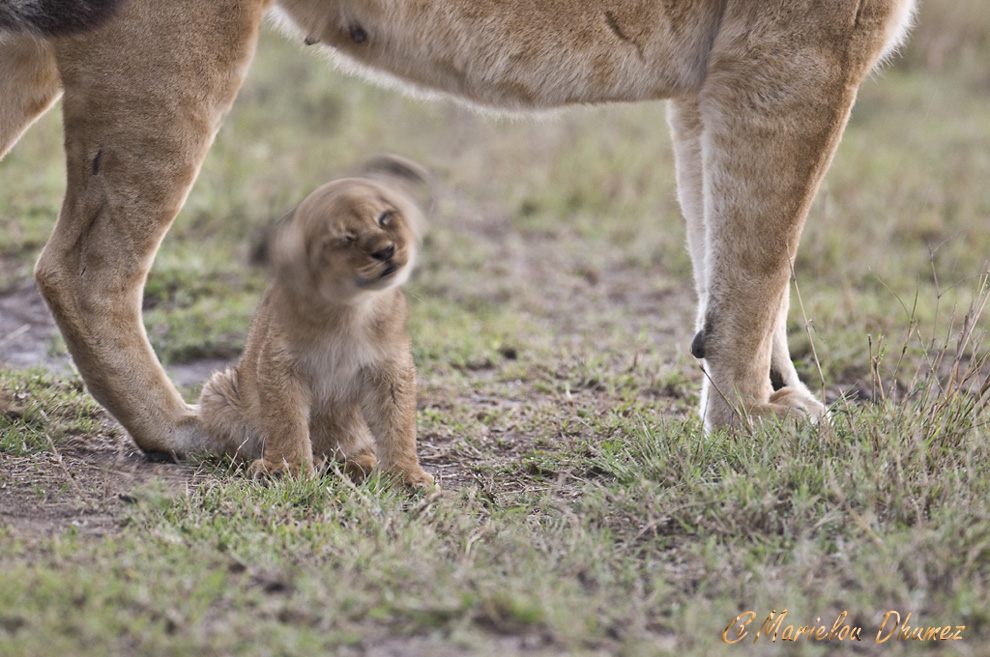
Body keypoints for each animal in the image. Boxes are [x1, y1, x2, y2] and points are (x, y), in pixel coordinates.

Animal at [0, 0, 916, 454]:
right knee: (81, 267)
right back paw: (181, 430)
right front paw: (751, 422)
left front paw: (774, 393)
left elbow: (725, 255)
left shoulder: (718, 72)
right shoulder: (795, 49)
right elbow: (761, 257)